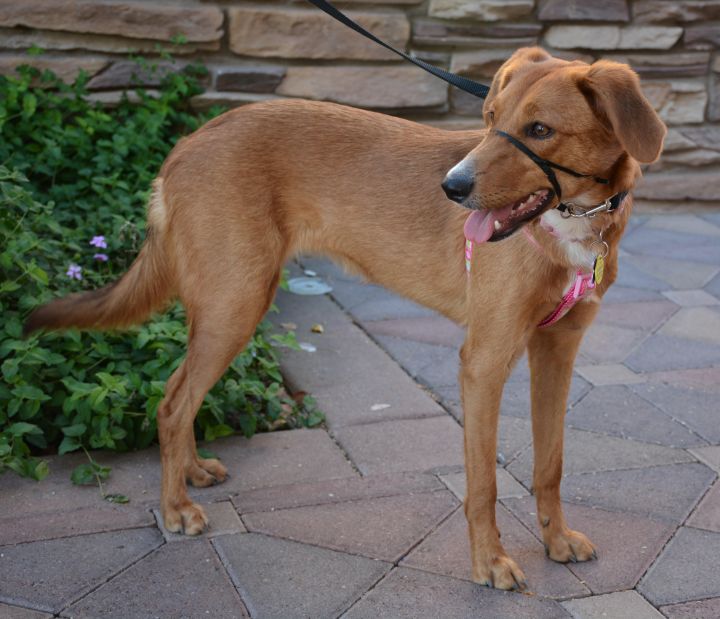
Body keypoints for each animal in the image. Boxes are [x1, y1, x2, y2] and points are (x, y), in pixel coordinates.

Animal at [31, 48, 668, 592]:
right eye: (490, 120)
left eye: (539, 130)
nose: (452, 187)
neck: (571, 222)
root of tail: (188, 141)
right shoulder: (483, 363)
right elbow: (484, 484)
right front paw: (489, 562)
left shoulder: (557, 352)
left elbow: (551, 463)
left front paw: (555, 541)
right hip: (235, 303)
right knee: (171, 402)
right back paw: (175, 509)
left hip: (226, 306)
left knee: (178, 392)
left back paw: (190, 473)